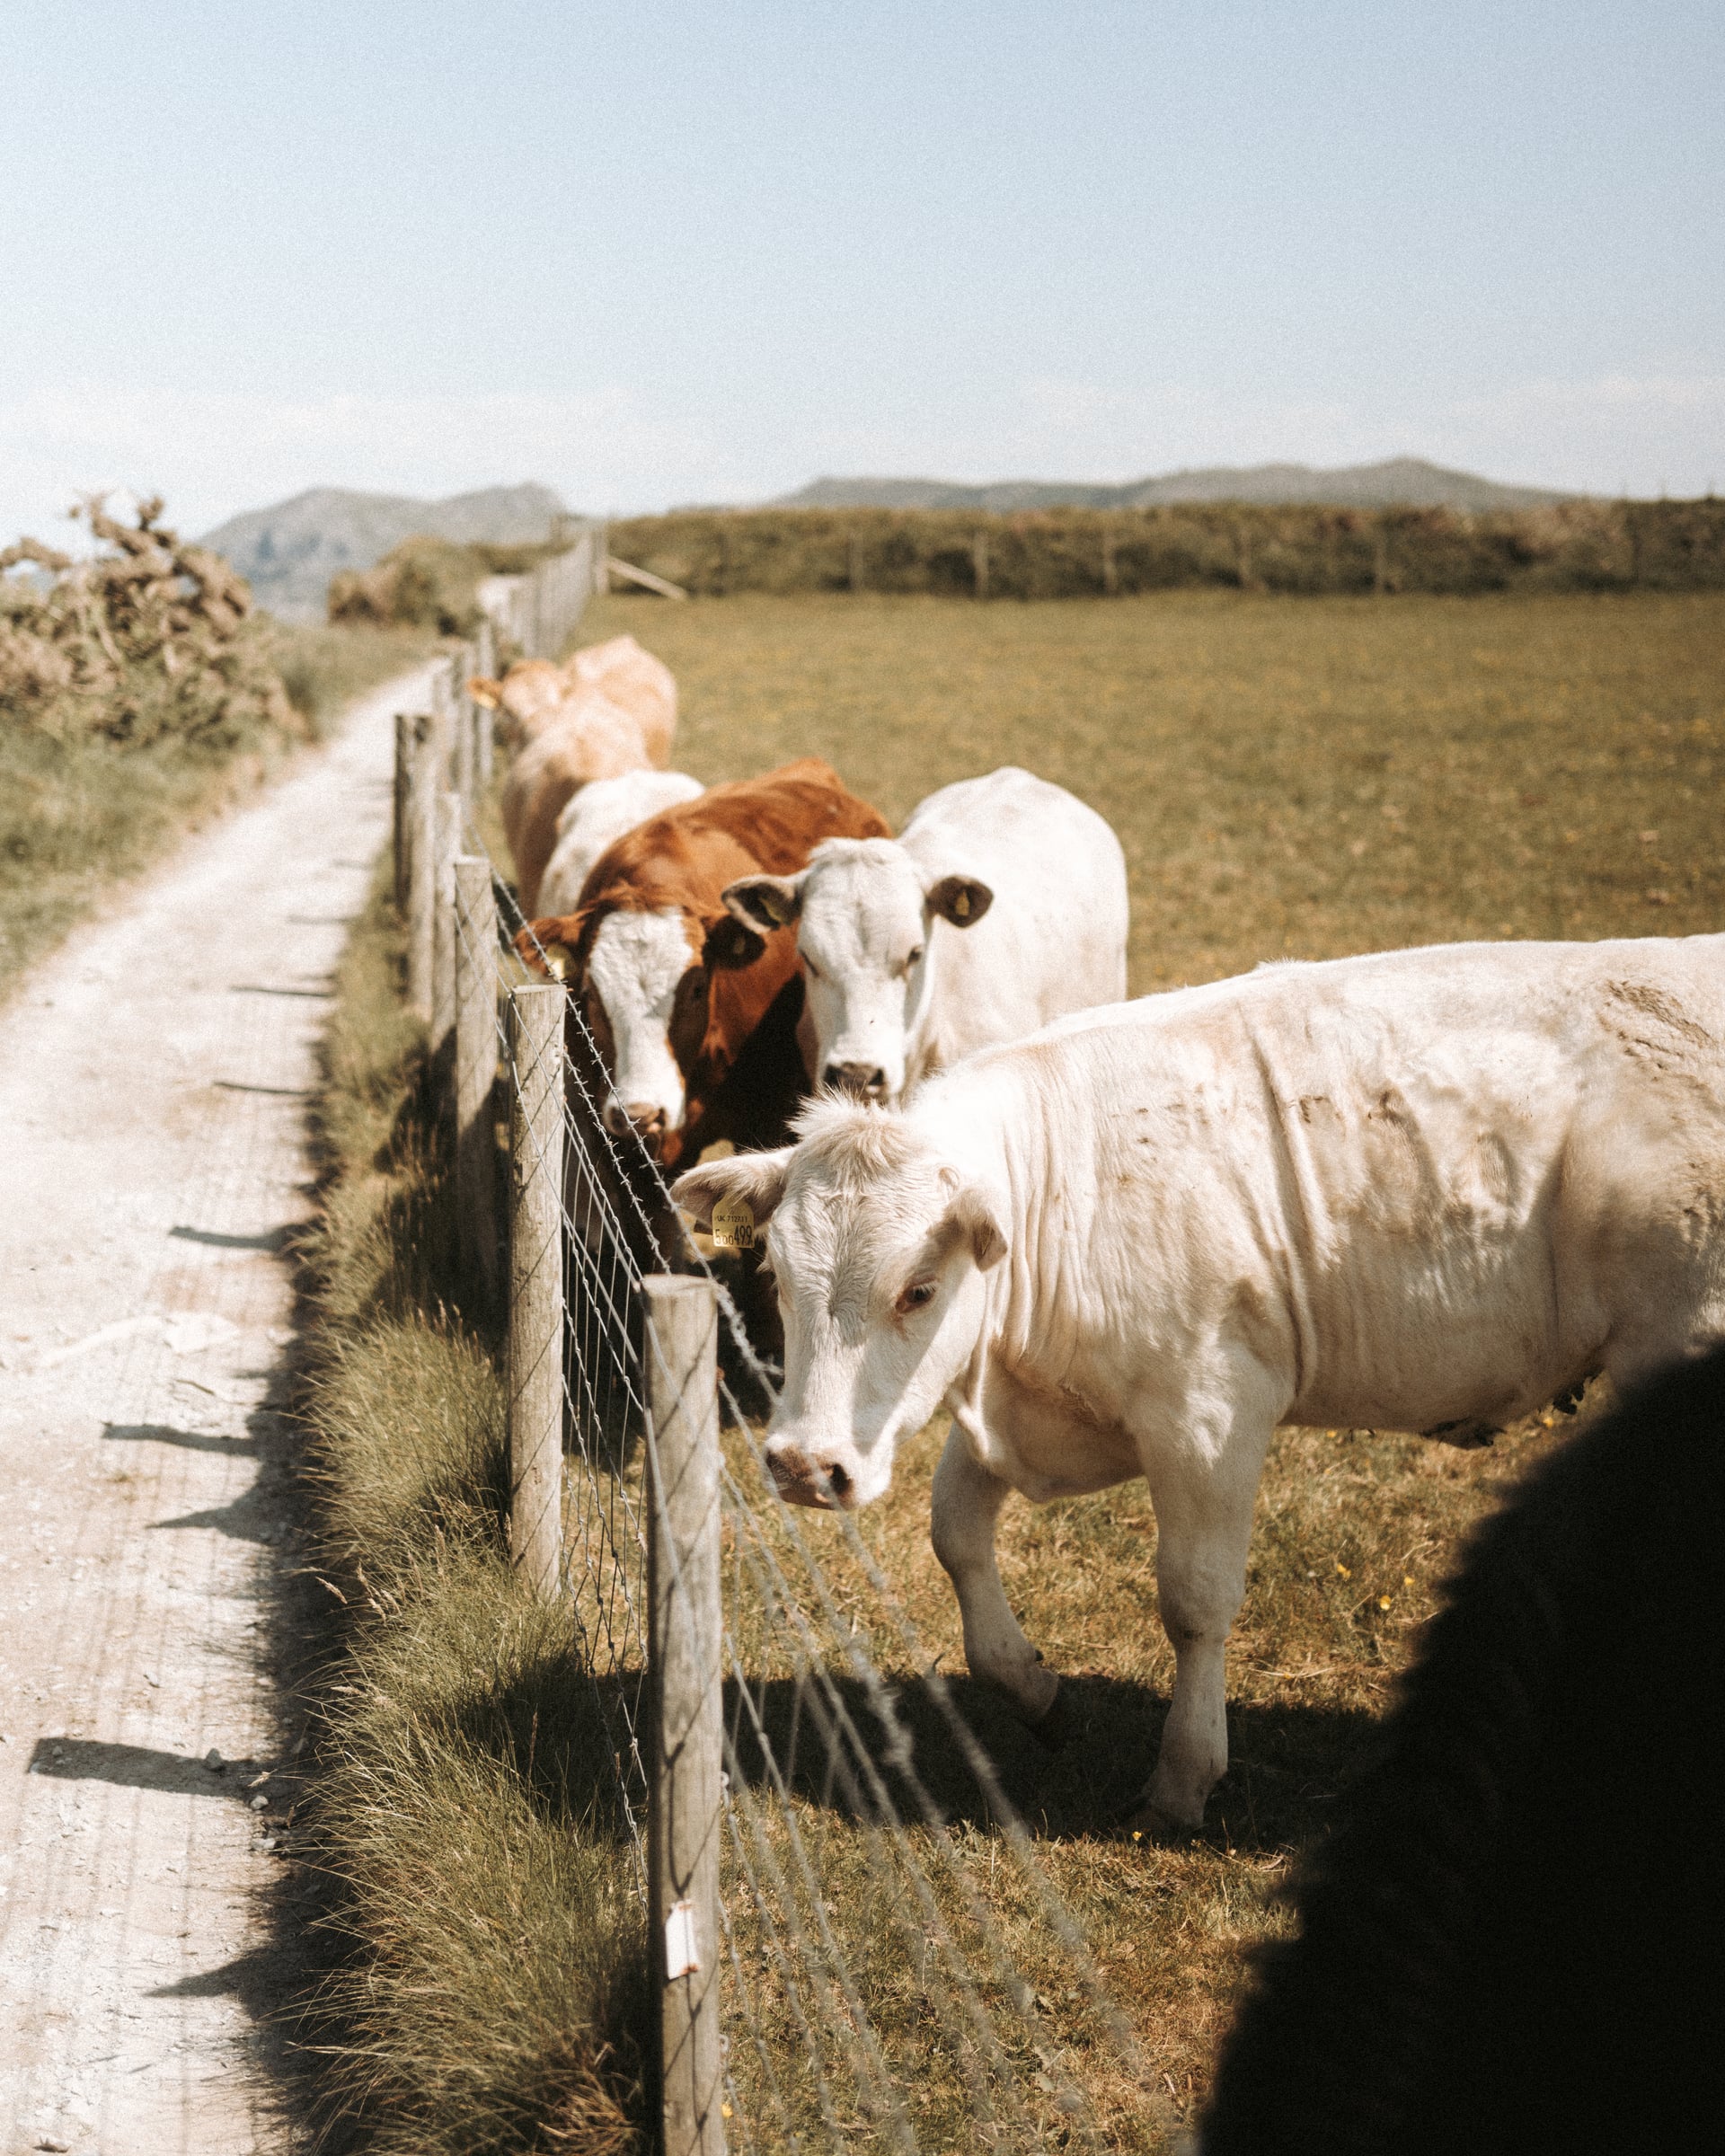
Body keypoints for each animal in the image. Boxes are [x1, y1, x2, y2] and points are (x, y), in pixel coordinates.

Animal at [672, 934, 1725, 1831]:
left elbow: (1195, 1598)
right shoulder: (1034, 1415)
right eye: (775, 1276)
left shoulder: (1208, 1415)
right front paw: (1037, 1693)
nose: (805, 1467)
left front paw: (1183, 1778)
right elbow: (957, 1537)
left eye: (919, 1289)